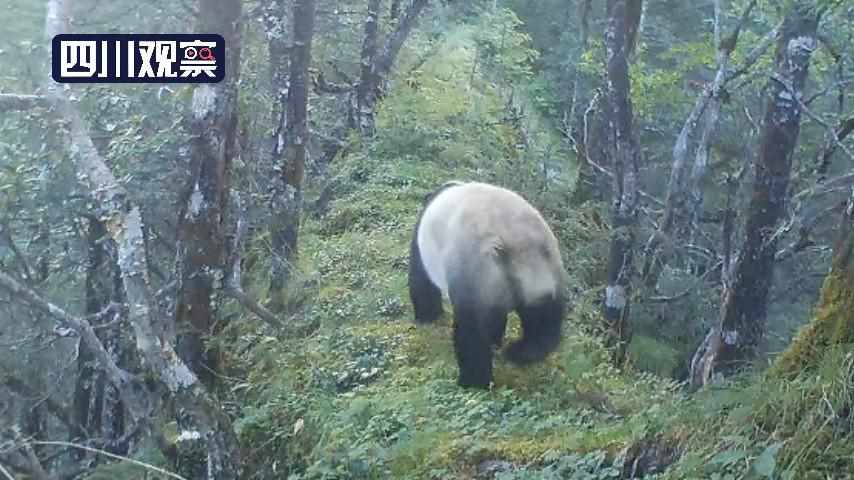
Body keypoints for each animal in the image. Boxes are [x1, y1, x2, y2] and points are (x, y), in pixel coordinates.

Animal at [408, 178, 568, 388]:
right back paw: (521, 352)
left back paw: (473, 381)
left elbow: (421, 281)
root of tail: (521, 247)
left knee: (471, 329)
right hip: (550, 270)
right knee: (545, 317)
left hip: (475, 268)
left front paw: (427, 317)